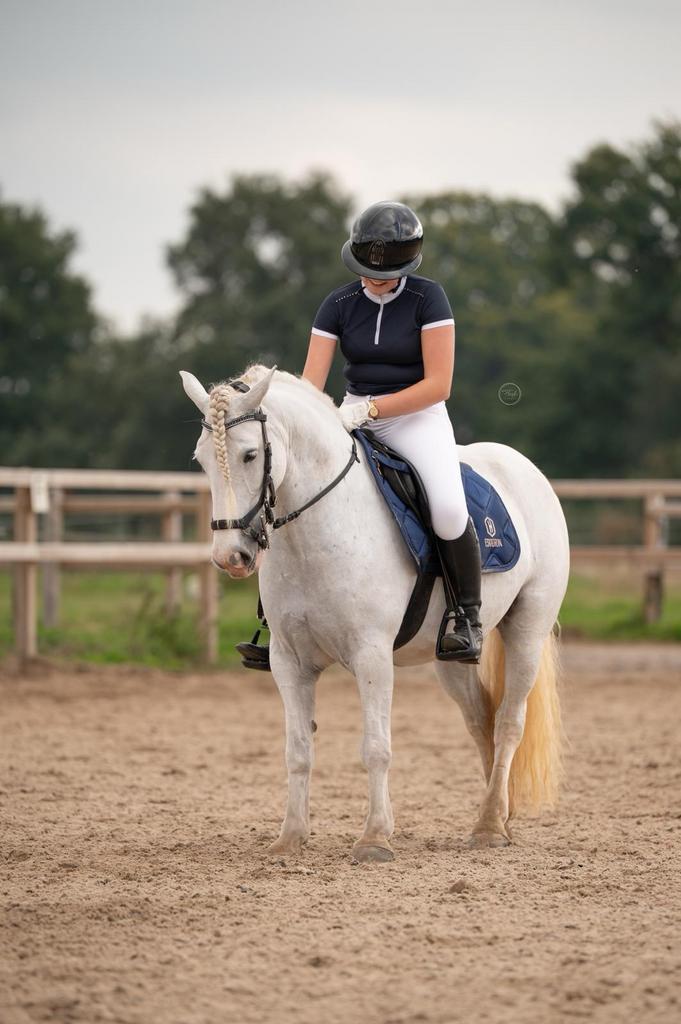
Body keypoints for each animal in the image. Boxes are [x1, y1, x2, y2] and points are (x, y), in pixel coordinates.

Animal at [181, 364, 570, 862]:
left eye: (250, 455)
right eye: (201, 460)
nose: (230, 556)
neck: (316, 531)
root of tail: (523, 467)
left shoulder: (372, 657)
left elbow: (375, 747)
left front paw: (375, 837)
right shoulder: (289, 662)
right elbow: (297, 750)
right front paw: (290, 837)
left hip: (527, 631)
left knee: (508, 722)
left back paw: (488, 827)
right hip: (452, 659)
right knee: (480, 718)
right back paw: (498, 815)